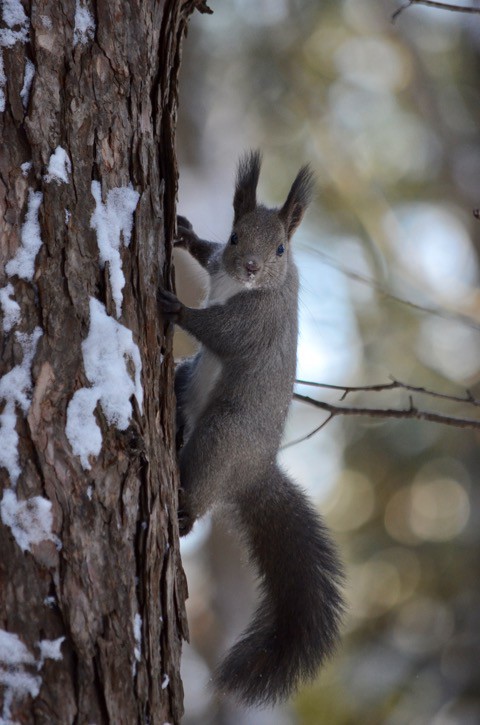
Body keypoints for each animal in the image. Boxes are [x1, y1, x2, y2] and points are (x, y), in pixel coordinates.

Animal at [159, 153, 344, 708]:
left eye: (281, 247)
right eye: (236, 234)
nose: (251, 267)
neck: (247, 287)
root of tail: (254, 470)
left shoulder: (257, 322)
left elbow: (222, 333)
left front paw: (179, 308)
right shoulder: (222, 265)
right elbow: (208, 257)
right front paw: (186, 235)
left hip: (221, 439)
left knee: (199, 492)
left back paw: (183, 513)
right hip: (186, 384)